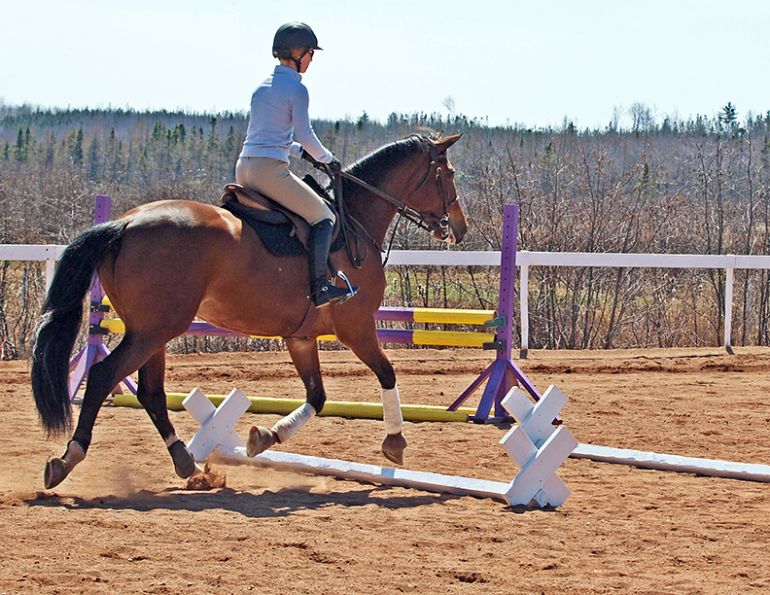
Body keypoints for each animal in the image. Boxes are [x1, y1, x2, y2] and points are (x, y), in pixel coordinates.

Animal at [31, 133, 467, 490]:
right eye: (449, 173)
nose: (458, 229)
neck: (353, 221)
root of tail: (125, 223)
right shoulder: (355, 327)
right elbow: (387, 373)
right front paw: (395, 442)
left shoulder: (301, 336)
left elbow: (318, 396)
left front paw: (264, 438)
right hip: (154, 330)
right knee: (104, 375)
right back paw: (67, 460)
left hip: (152, 331)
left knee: (151, 394)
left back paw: (187, 464)